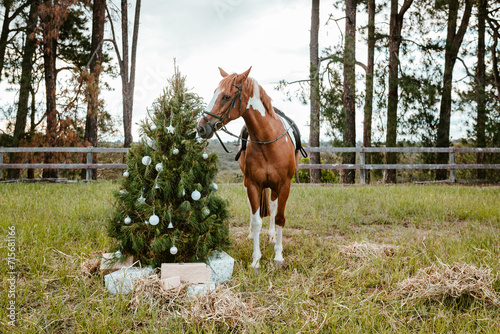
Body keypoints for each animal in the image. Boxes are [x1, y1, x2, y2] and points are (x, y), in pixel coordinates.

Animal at [196, 66, 304, 270]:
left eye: (226, 96)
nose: (201, 128)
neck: (267, 140)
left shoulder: (285, 185)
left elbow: (279, 218)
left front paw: (278, 256)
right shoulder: (252, 184)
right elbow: (256, 221)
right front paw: (255, 261)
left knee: (273, 206)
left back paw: (272, 236)